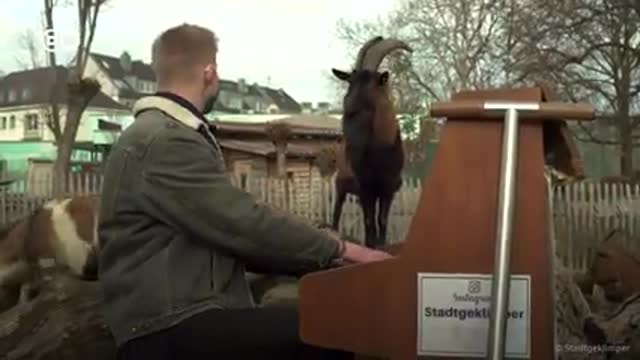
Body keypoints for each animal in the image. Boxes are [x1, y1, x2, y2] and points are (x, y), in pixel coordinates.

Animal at [332, 37, 412, 250]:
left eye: (372, 85)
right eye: (350, 84)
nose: (349, 109)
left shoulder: (388, 187)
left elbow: (382, 220)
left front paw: (381, 245)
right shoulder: (365, 187)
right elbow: (369, 221)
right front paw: (371, 245)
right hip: (342, 185)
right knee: (337, 211)